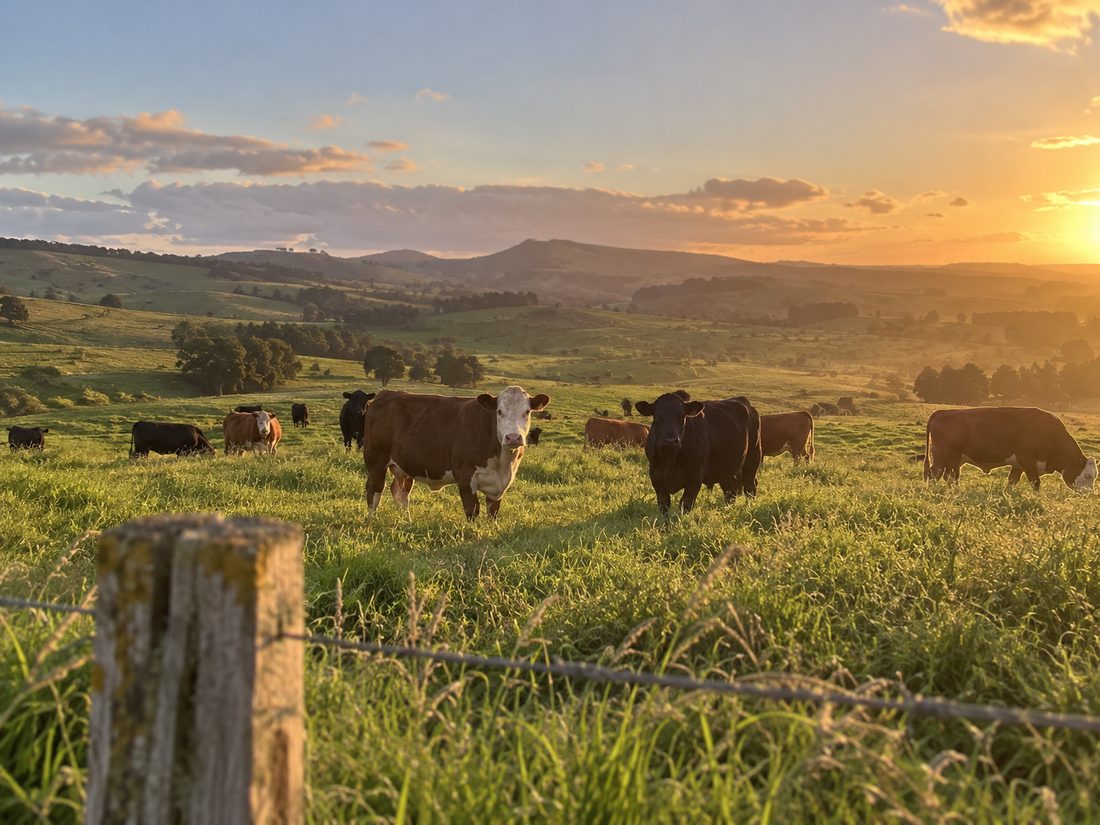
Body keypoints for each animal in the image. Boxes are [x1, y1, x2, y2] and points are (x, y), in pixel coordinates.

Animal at [362, 386, 550, 520]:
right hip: (376, 460)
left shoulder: (498, 486)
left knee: (399, 492)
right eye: (499, 412)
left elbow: (493, 513)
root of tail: (385, 394)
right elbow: (472, 511)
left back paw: (406, 521)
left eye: (527, 412)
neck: (503, 464)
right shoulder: (465, 477)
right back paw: (372, 520)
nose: (513, 438)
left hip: (404, 465)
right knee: (374, 489)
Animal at [924, 407, 1097, 491]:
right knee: (936, 475)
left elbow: (1013, 481)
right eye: (1087, 475)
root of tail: (942, 412)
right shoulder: (1027, 460)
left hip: (953, 461)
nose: (1088, 493)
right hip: (942, 457)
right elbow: (1036, 482)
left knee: (948, 477)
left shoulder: (1018, 465)